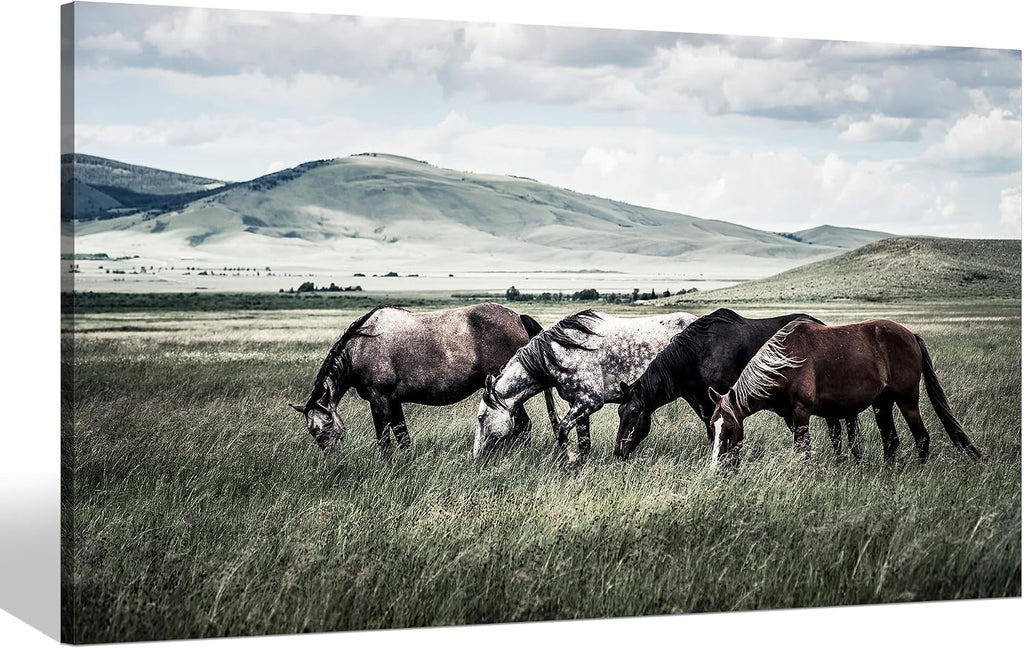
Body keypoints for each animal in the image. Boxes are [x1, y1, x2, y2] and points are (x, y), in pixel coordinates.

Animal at [290, 303, 557, 455]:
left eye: (325, 428)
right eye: (313, 433)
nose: (335, 460)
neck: (360, 346)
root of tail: (518, 317)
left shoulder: (379, 401)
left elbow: (384, 440)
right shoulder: (393, 401)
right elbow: (402, 437)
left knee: (523, 426)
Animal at [473, 308, 697, 461]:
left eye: (481, 418)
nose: (476, 455)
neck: (562, 352)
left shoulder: (590, 401)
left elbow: (561, 430)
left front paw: (570, 460)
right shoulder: (579, 404)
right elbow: (584, 442)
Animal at [707, 318, 985, 469]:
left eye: (729, 428)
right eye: (712, 427)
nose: (717, 469)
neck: (784, 361)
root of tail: (911, 335)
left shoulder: (801, 413)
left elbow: (803, 451)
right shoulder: (791, 416)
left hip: (907, 401)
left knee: (921, 437)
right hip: (882, 403)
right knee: (891, 441)